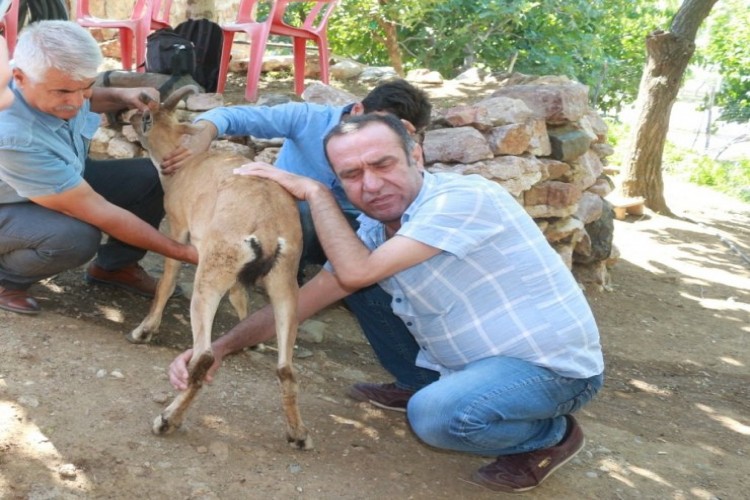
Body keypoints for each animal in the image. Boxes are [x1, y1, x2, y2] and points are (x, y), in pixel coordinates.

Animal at [129, 86, 312, 450]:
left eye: (146, 115)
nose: (126, 115)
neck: (184, 164)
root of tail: (267, 227)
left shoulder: (178, 227)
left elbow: (167, 281)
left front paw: (144, 330)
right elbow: (240, 296)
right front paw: (250, 339)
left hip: (211, 274)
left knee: (204, 357)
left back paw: (167, 420)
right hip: (285, 283)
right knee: (286, 368)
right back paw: (298, 434)